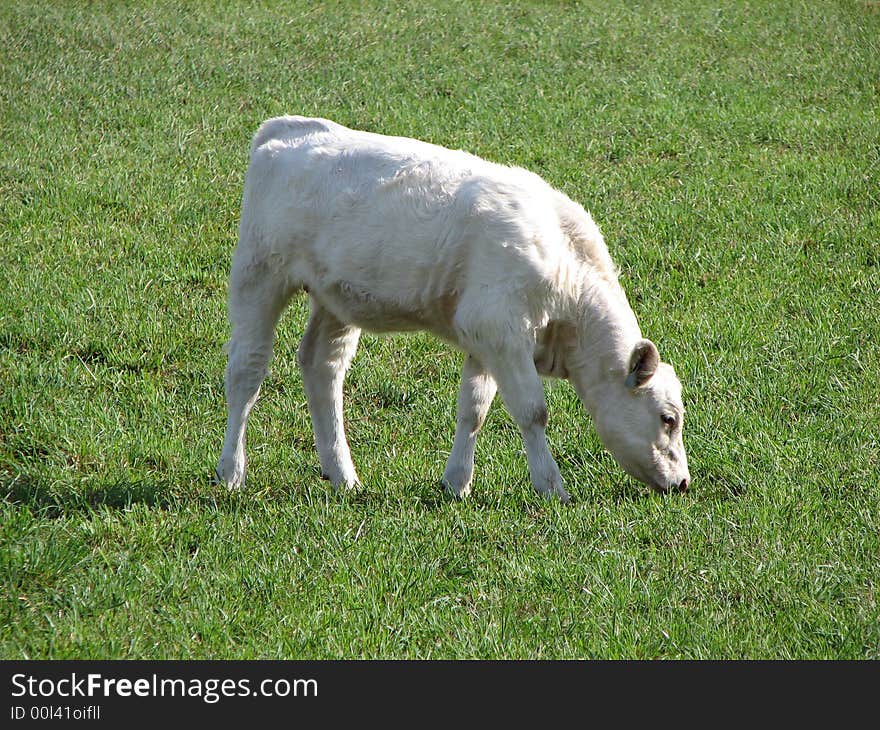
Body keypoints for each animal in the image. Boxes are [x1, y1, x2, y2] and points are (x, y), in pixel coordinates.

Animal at [217, 115, 692, 500]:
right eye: (668, 418)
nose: (684, 482)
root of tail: (285, 129)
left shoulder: (484, 338)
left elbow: (474, 409)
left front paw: (457, 482)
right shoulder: (501, 329)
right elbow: (532, 411)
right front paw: (551, 486)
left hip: (334, 299)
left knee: (322, 367)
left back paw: (343, 475)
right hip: (258, 275)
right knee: (247, 370)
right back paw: (231, 471)